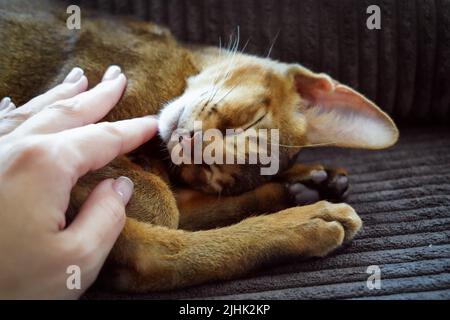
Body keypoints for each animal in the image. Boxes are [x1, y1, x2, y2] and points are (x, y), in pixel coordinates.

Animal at [1, 0, 400, 292]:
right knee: (153, 251)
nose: (190, 144)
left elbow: (175, 206)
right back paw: (309, 212)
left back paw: (308, 193)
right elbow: (163, 207)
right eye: (249, 121)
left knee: (152, 257)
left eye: (210, 172)